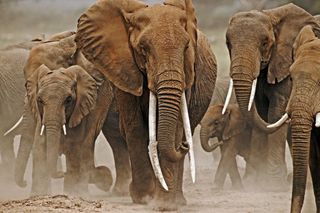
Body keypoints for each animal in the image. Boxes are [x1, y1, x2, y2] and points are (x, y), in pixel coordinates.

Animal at [74, 0, 218, 210]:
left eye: (186, 47)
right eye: (143, 48)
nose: (184, 146)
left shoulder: (188, 73)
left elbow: (175, 127)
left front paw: (164, 205)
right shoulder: (125, 70)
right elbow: (135, 127)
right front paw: (143, 198)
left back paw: (178, 199)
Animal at [222, 2, 320, 190]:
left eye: (264, 43)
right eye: (228, 43)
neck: (270, 15)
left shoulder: (286, 63)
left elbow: (276, 112)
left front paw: (273, 182)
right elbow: (261, 111)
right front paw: (256, 182)